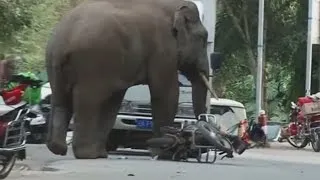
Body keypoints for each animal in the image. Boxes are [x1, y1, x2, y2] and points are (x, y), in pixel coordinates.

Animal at [45, 0, 215, 159]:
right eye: (202, 38)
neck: (175, 6)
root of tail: (65, 37)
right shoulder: (163, 49)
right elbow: (166, 93)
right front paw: (164, 153)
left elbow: (114, 101)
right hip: (92, 61)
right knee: (89, 100)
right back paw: (87, 154)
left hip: (54, 62)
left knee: (61, 99)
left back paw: (60, 149)